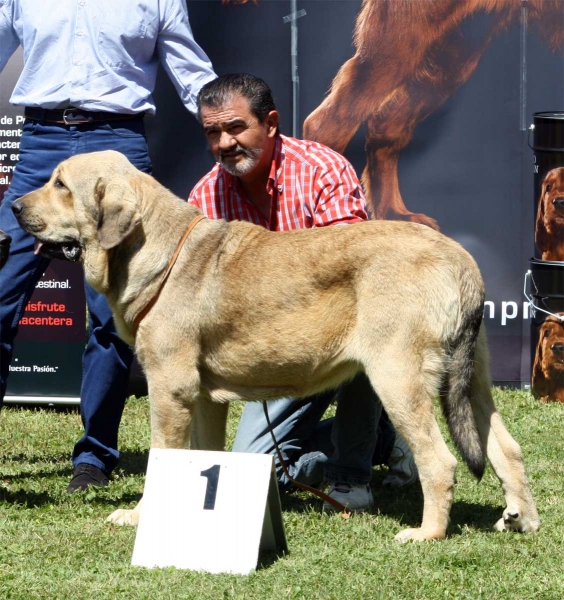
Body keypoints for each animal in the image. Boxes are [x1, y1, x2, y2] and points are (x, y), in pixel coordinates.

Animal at [13, 151, 540, 544]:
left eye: (61, 184)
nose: (15, 206)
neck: (155, 249)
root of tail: (460, 258)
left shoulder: (170, 388)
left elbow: (163, 458)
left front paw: (141, 516)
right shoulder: (202, 397)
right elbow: (203, 452)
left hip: (396, 377)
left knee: (440, 461)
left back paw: (427, 533)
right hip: (472, 382)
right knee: (506, 447)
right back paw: (521, 518)